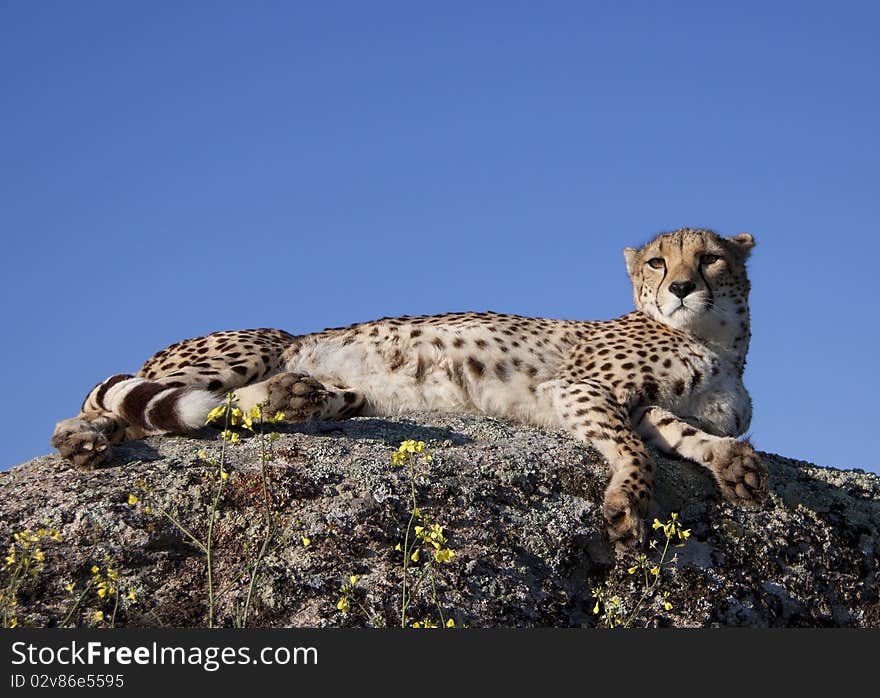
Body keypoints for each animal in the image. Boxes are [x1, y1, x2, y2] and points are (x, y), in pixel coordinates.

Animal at [51, 226, 764, 548]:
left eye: (710, 259)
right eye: (658, 262)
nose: (681, 287)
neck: (717, 343)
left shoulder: (640, 405)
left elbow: (679, 433)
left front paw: (733, 464)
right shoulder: (577, 388)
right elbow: (636, 449)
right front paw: (627, 501)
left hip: (343, 395)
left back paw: (282, 400)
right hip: (246, 348)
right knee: (113, 404)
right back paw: (79, 440)